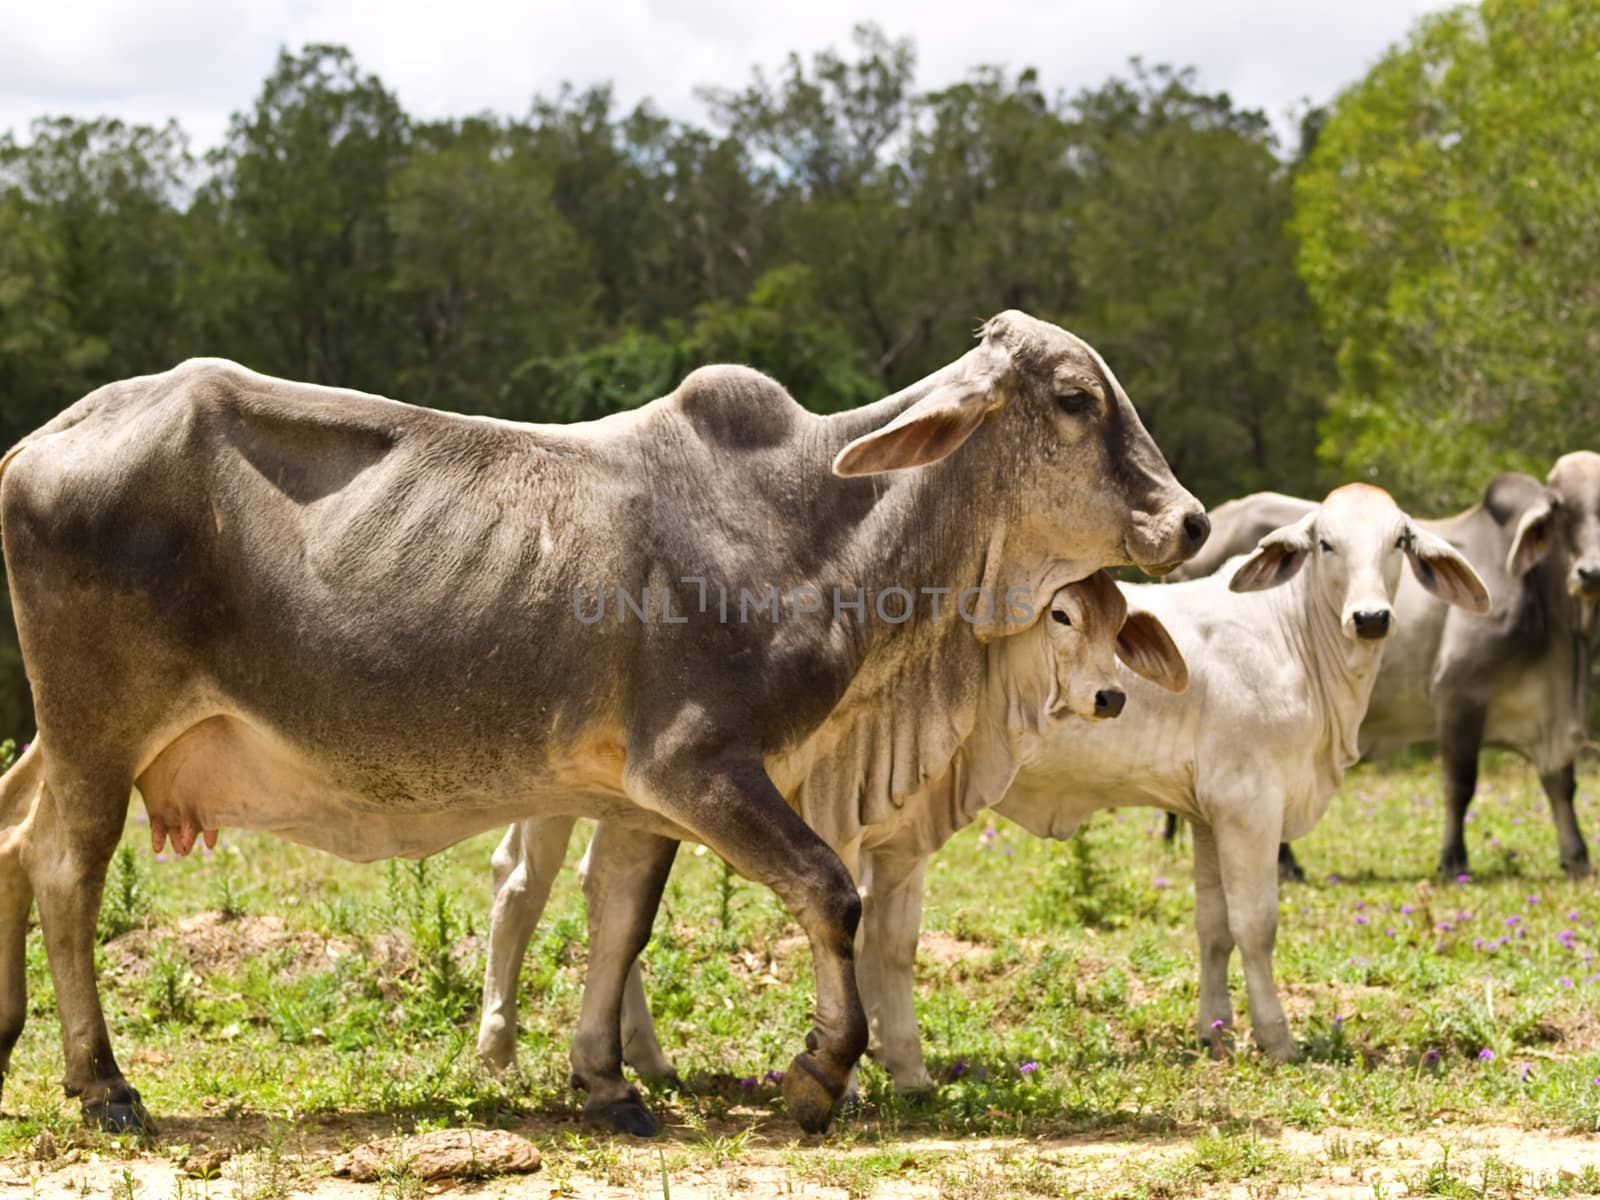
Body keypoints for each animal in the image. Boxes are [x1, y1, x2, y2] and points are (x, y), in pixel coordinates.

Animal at [1164, 454, 1600, 883]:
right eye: (1560, 508)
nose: (1590, 573)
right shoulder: (1459, 695)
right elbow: (1460, 785)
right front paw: (1453, 861)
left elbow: (1561, 782)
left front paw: (1576, 857)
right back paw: (1283, 865)